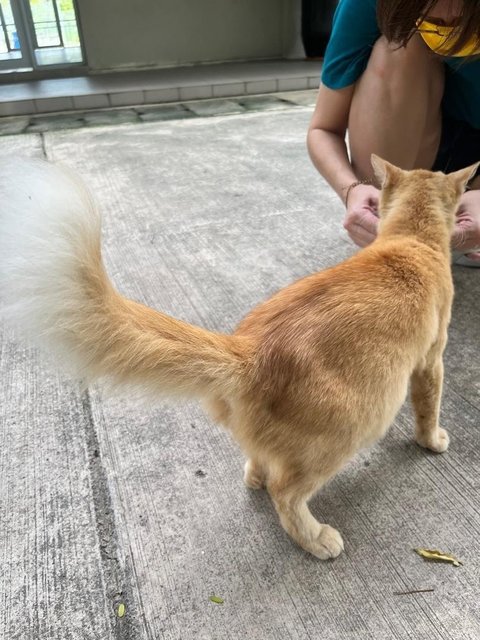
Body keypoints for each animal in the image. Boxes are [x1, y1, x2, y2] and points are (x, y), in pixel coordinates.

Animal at [0, 156, 474, 560]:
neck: (410, 239)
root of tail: (249, 352)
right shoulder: (430, 362)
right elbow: (428, 409)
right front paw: (432, 441)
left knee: (258, 466)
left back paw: (260, 477)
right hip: (358, 423)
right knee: (286, 493)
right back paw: (316, 538)